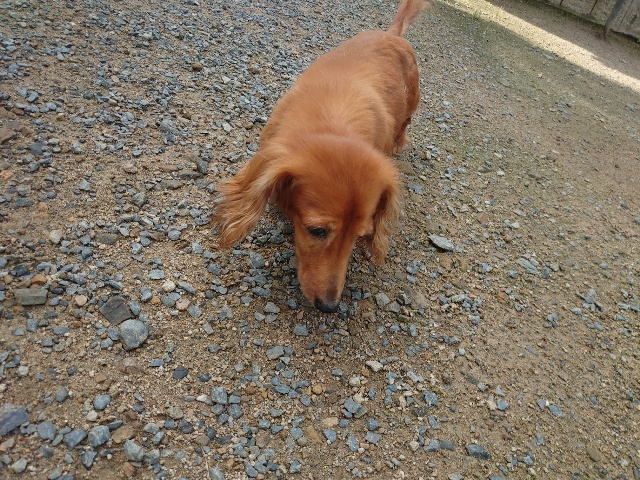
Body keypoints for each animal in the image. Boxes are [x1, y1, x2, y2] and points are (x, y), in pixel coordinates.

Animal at [214, 0, 427, 313]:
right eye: (316, 231)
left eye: (360, 236)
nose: (329, 306)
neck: (333, 123)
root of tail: (392, 35)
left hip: (413, 101)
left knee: (406, 122)